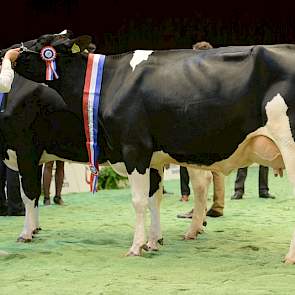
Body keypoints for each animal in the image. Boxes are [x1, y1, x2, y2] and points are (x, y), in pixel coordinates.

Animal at [12, 33, 295, 264]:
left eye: (43, 43)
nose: (11, 53)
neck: (112, 80)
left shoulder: (133, 148)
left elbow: (138, 201)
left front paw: (136, 246)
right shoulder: (153, 158)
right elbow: (153, 198)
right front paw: (153, 242)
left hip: (289, 145)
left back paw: (289, 256)